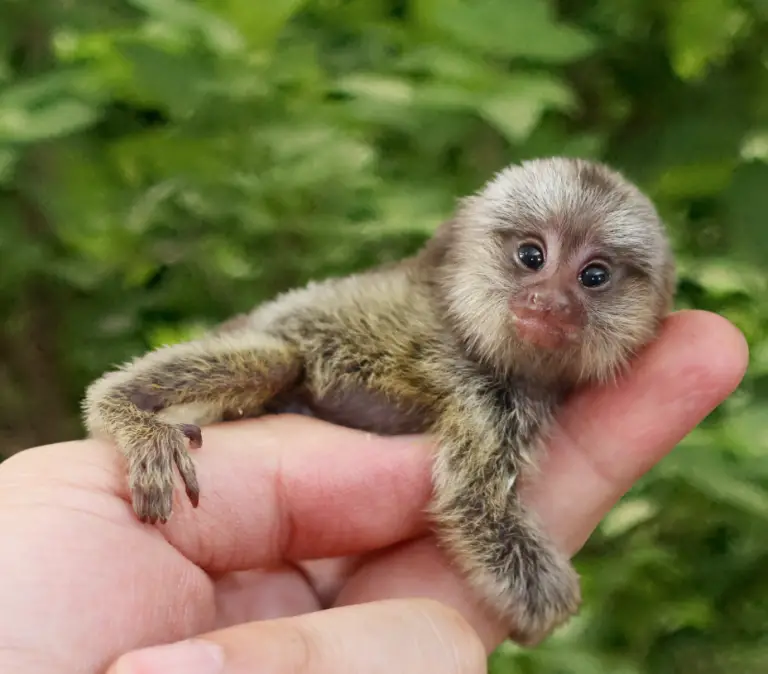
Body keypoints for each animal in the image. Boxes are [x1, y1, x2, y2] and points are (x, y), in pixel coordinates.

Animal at [82, 157, 676, 646]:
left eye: (594, 275)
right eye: (532, 256)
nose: (549, 303)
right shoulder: (478, 390)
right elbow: (474, 502)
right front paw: (549, 607)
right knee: (277, 360)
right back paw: (128, 416)